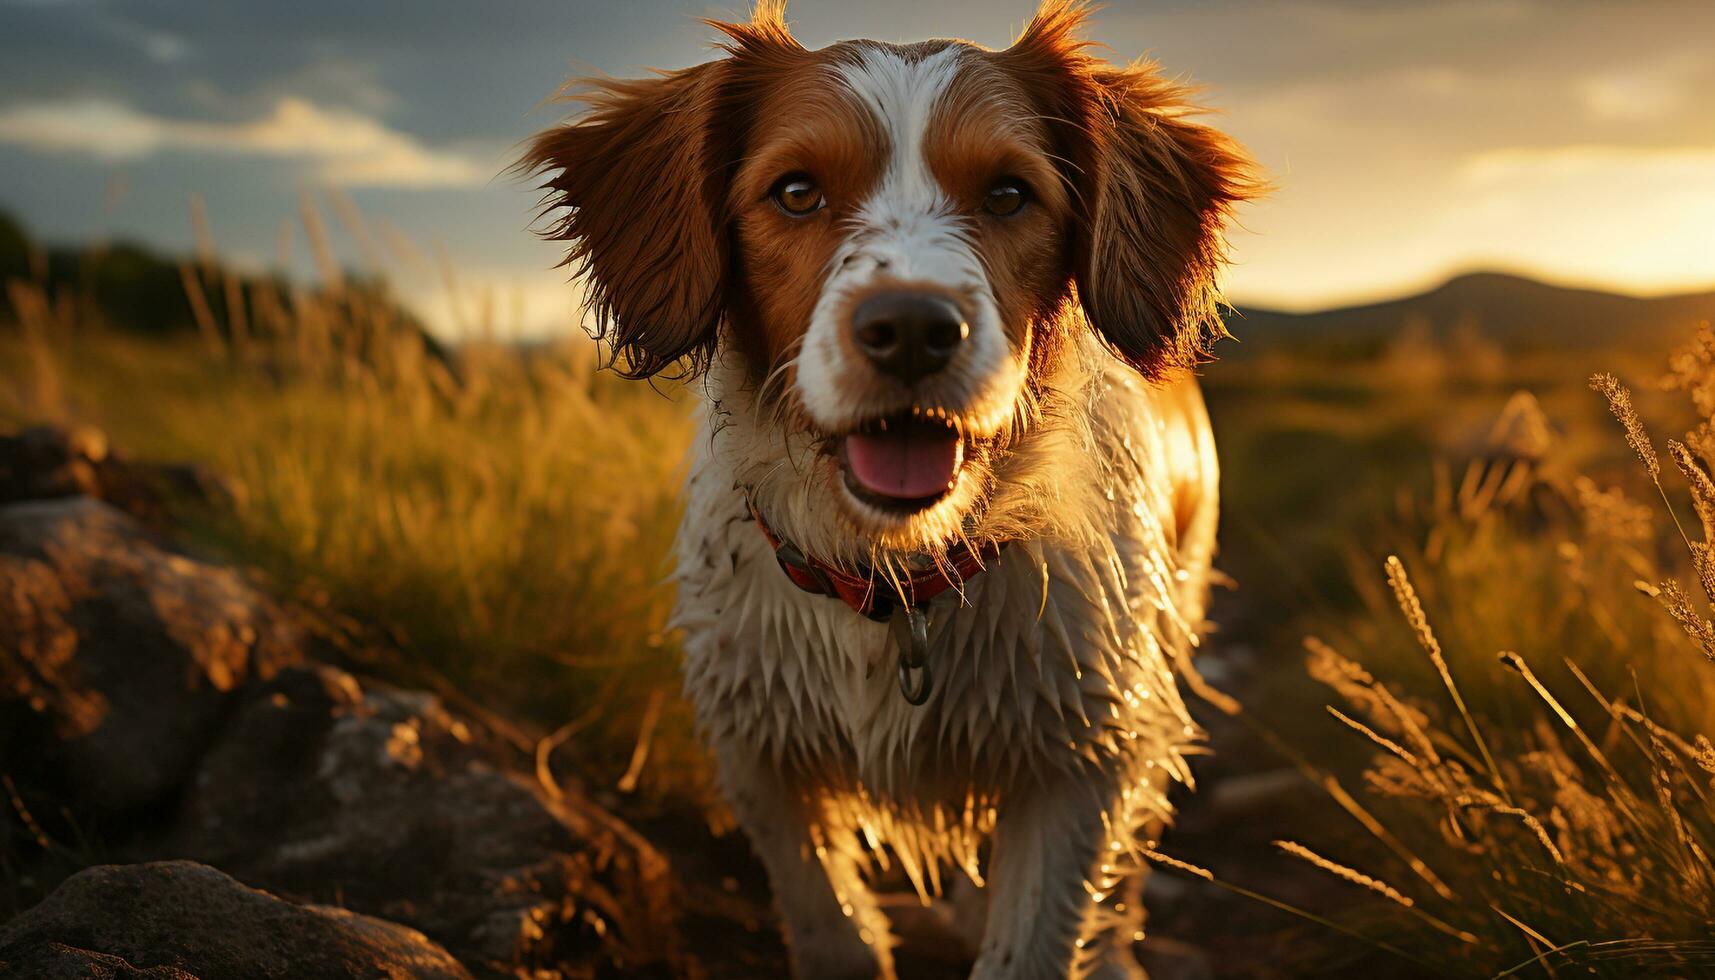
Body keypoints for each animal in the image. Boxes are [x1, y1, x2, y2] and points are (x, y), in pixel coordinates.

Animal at [514, 3, 1255, 974]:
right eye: (795, 192)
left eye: (1009, 194)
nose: (910, 327)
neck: (892, 580)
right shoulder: (756, 745)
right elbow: (829, 924)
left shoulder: (1084, 753)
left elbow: (1032, 941)